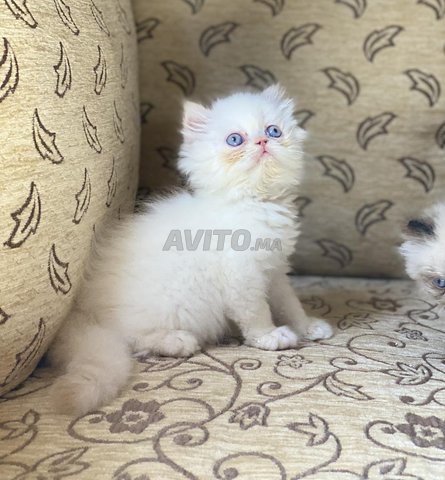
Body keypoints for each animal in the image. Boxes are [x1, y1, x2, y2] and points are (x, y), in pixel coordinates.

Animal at [49, 84, 333, 415]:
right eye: (235, 140)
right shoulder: (242, 277)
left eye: (273, 131)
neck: (254, 203)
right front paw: (270, 336)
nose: (262, 141)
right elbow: (256, 312)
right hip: (169, 305)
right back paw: (177, 341)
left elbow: (290, 304)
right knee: (131, 338)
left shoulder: (275, 272)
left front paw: (307, 327)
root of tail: (80, 310)